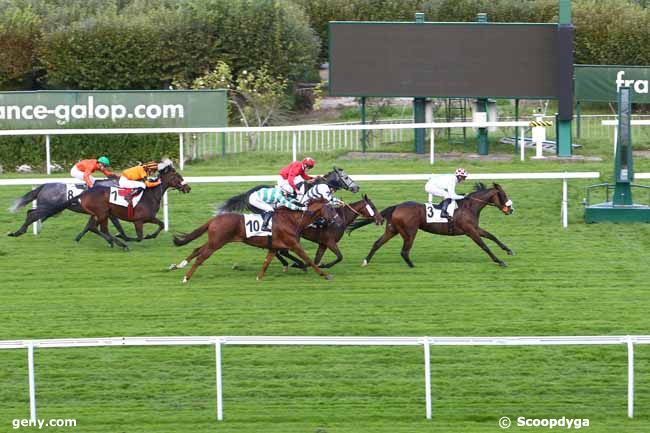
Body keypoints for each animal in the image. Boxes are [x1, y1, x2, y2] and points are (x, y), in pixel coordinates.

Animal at [167, 198, 340, 282]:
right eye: (331, 208)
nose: (337, 221)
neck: (292, 220)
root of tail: (213, 220)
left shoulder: (274, 247)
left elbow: (266, 262)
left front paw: (259, 277)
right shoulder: (294, 244)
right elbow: (308, 259)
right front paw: (325, 275)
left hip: (214, 241)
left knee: (197, 249)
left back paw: (179, 265)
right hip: (216, 243)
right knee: (201, 257)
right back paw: (186, 277)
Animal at [346, 182, 512, 266]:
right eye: (503, 196)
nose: (510, 209)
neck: (469, 206)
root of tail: (397, 206)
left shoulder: (475, 228)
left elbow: (492, 236)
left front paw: (508, 250)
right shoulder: (470, 231)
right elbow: (484, 245)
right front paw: (500, 261)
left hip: (392, 230)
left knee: (377, 243)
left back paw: (366, 261)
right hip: (410, 231)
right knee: (404, 251)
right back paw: (412, 266)